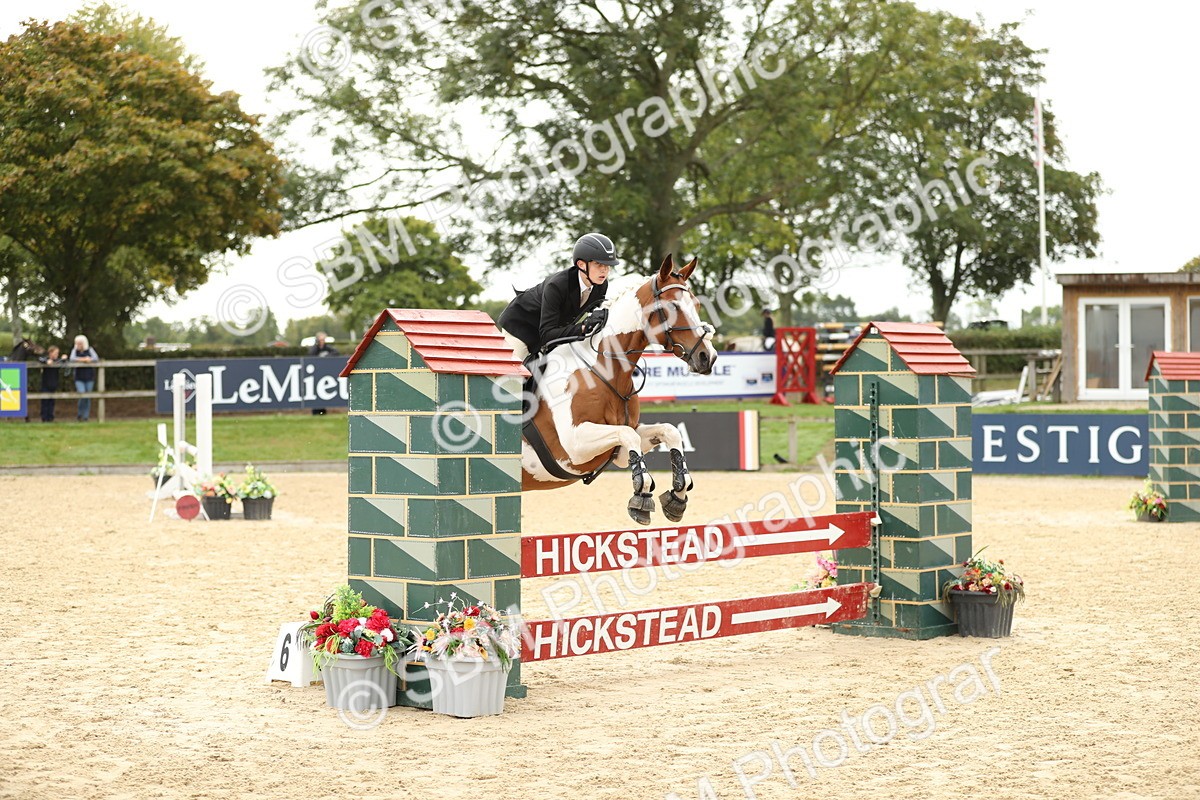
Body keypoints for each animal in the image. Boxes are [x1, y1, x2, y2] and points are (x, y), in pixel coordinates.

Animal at [520, 254, 718, 525]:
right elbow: (627, 434)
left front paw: (678, 493)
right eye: (673, 307)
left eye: (696, 305)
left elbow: (667, 431)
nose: (708, 357)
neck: (602, 369)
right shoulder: (573, 448)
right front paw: (642, 495)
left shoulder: (620, 450)